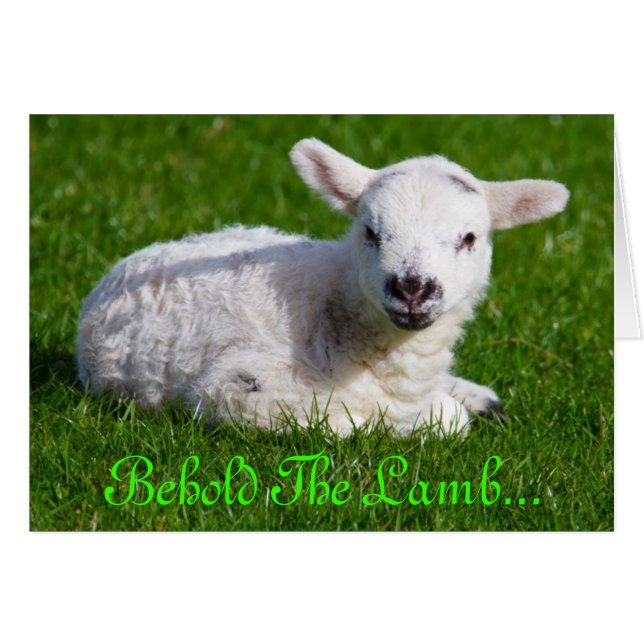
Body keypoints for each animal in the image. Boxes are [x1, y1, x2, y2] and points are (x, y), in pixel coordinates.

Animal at [76, 138, 569, 436]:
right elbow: (352, 423)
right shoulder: (234, 388)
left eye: (469, 238)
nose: (412, 288)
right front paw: (426, 417)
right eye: (370, 232)